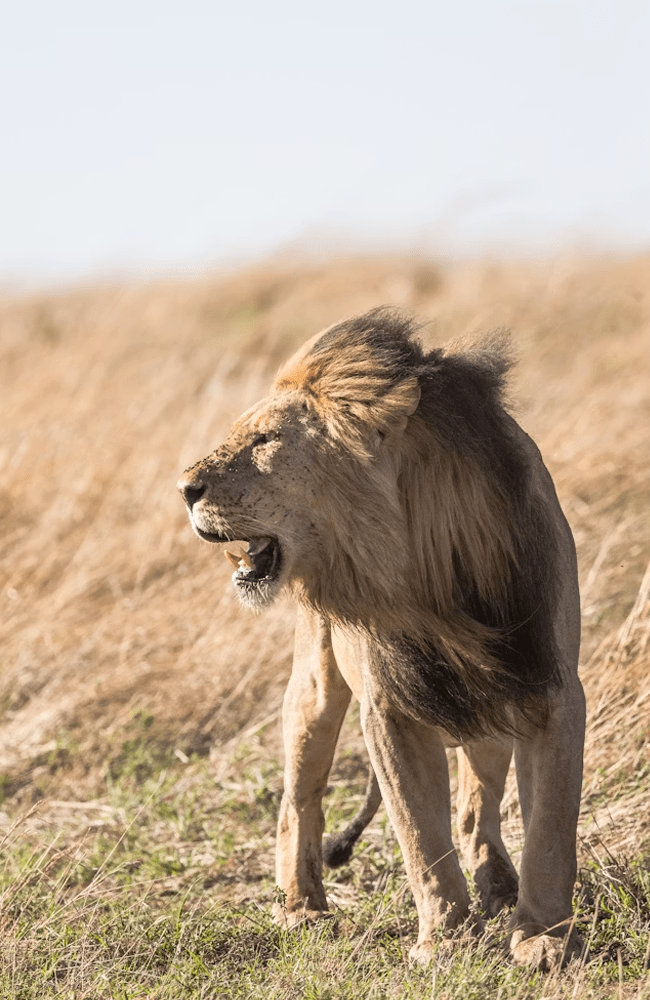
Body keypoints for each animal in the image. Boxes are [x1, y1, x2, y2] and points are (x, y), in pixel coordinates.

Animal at [177, 309, 585, 968]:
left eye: (265, 440)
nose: (183, 489)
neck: (427, 572)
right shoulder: (390, 708)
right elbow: (420, 835)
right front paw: (444, 943)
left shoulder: (547, 686)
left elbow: (550, 827)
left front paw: (543, 940)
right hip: (315, 686)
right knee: (299, 799)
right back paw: (302, 908)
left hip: (489, 709)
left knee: (475, 807)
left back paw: (498, 884)